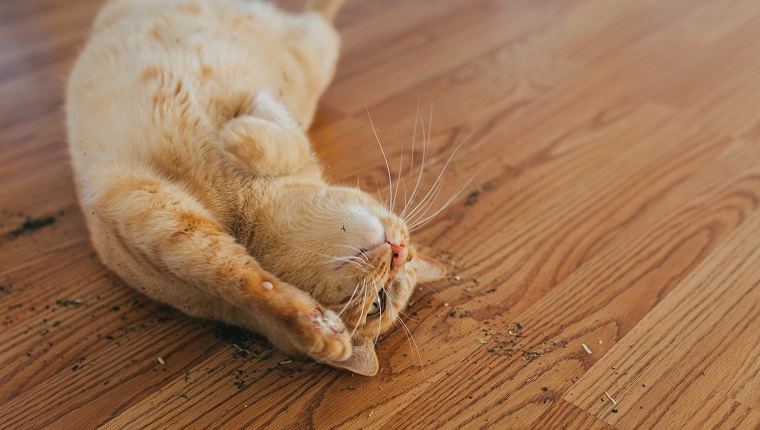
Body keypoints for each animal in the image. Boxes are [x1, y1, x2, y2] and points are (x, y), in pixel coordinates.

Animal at [67, 0, 446, 376]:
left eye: (376, 306)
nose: (398, 251)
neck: (248, 210)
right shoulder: (153, 209)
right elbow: (284, 136)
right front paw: (239, 135)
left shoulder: (164, 223)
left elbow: (240, 279)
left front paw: (316, 329)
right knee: (319, 12)